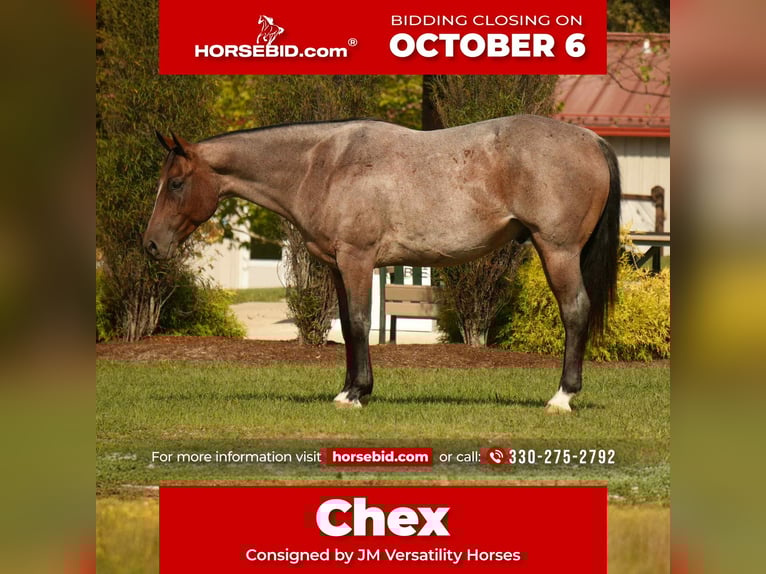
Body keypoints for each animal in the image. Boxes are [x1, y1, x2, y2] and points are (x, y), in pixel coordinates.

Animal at [144, 116, 620, 413]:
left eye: (177, 183)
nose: (150, 245)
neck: (323, 165)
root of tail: (591, 139)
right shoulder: (337, 265)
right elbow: (347, 325)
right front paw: (348, 389)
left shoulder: (357, 258)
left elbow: (358, 322)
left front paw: (357, 394)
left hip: (557, 250)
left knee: (575, 311)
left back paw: (562, 397)